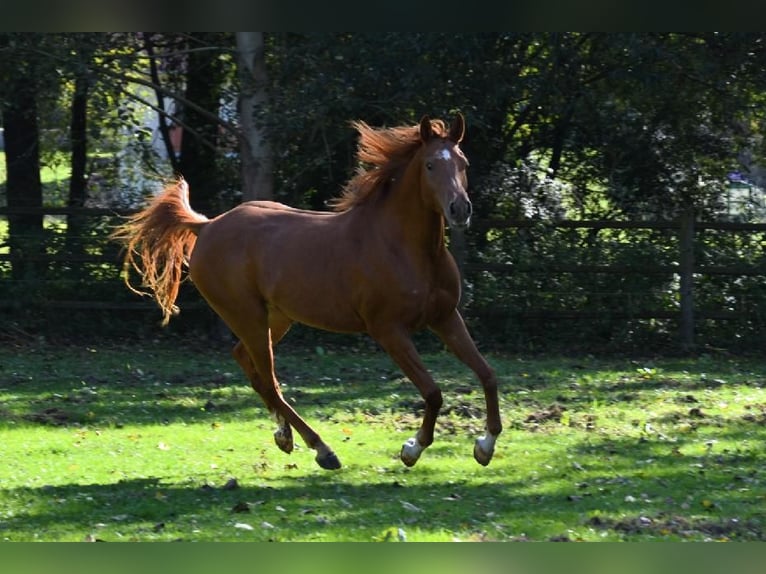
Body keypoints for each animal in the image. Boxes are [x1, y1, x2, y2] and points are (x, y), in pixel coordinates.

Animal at [111, 113, 500, 472]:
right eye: (431, 164)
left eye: (463, 163)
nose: (460, 209)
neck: (404, 247)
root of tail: (207, 226)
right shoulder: (389, 330)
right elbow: (433, 391)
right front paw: (412, 449)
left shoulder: (445, 317)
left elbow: (487, 373)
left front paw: (485, 445)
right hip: (247, 316)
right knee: (269, 381)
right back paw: (323, 450)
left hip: (276, 317)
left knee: (248, 363)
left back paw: (285, 436)